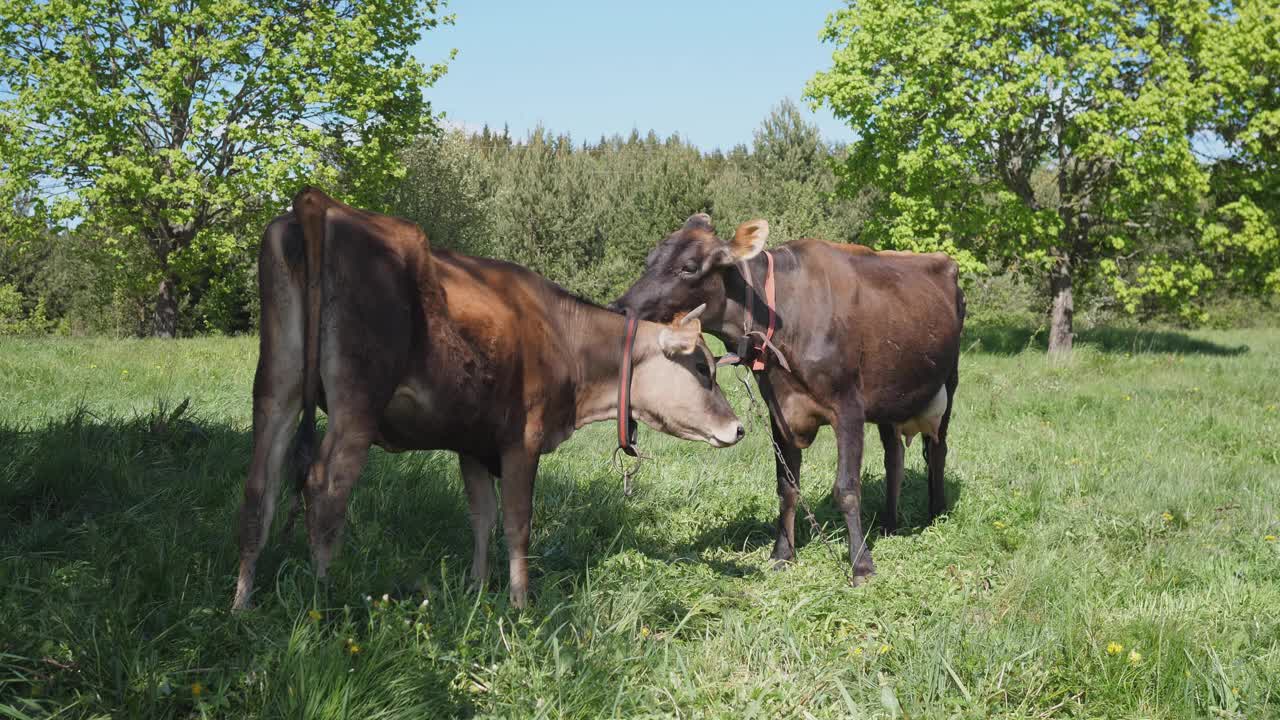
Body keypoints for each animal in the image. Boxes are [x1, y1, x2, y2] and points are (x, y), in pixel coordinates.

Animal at [235, 188, 747, 607]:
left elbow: (481, 517)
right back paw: (320, 600)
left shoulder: (473, 444)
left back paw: (242, 605)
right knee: (324, 489)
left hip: (276, 386)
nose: (739, 427)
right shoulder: (522, 441)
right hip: (356, 405)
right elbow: (518, 523)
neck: (567, 337)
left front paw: (477, 591)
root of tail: (325, 205)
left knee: (259, 488)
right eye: (702, 368)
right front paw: (520, 604)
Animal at [609, 212, 962, 584]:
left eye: (689, 267)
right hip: (890, 400)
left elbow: (847, 488)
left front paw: (861, 565)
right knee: (894, 457)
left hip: (948, 383)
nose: (618, 309)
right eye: (649, 261)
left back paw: (936, 513)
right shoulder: (779, 412)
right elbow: (787, 487)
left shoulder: (849, 407)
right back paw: (889, 524)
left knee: (936, 450)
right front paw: (782, 554)